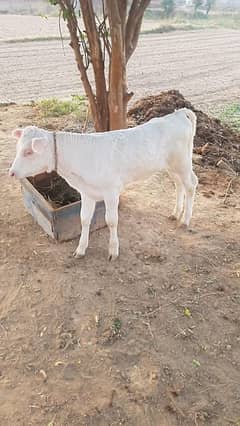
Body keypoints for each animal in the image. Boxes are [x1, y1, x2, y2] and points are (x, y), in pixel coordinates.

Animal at [9, 107, 197, 260]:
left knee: (190, 184)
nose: (11, 172)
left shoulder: (111, 192)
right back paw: (175, 213)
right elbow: (84, 219)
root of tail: (178, 114)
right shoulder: (86, 192)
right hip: (170, 165)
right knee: (178, 184)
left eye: (28, 152)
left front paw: (113, 250)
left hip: (182, 162)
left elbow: (111, 221)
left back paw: (185, 220)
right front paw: (80, 249)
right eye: (18, 148)